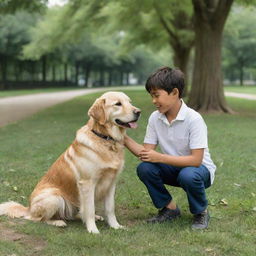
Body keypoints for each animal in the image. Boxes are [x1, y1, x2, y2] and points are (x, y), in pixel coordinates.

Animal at [0, 92, 140, 234]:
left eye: (129, 102)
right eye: (118, 104)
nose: (138, 112)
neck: (105, 138)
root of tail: (28, 208)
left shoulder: (111, 183)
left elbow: (110, 208)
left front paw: (116, 226)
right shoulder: (87, 184)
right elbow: (90, 209)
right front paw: (93, 230)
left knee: (75, 214)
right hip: (54, 197)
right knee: (36, 218)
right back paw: (57, 222)